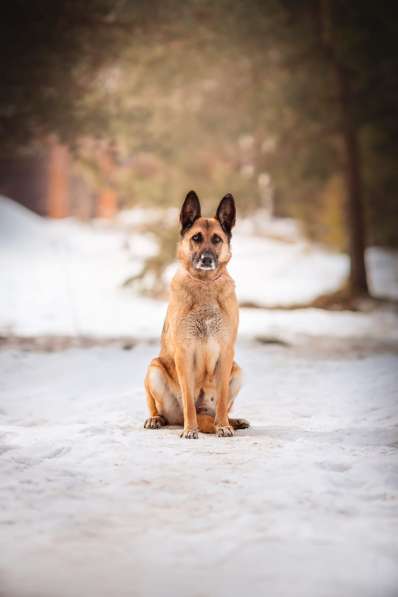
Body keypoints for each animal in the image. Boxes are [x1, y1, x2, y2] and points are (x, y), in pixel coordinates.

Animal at [143, 191, 249, 438]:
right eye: (197, 238)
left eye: (217, 239)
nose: (207, 259)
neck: (205, 285)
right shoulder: (184, 352)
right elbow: (189, 401)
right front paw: (190, 430)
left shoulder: (226, 352)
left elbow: (222, 400)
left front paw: (223, 426)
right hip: (154, 369)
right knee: (160, 408)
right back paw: (156, 419)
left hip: (238, 371)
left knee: (220, 408)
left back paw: (231, 421)